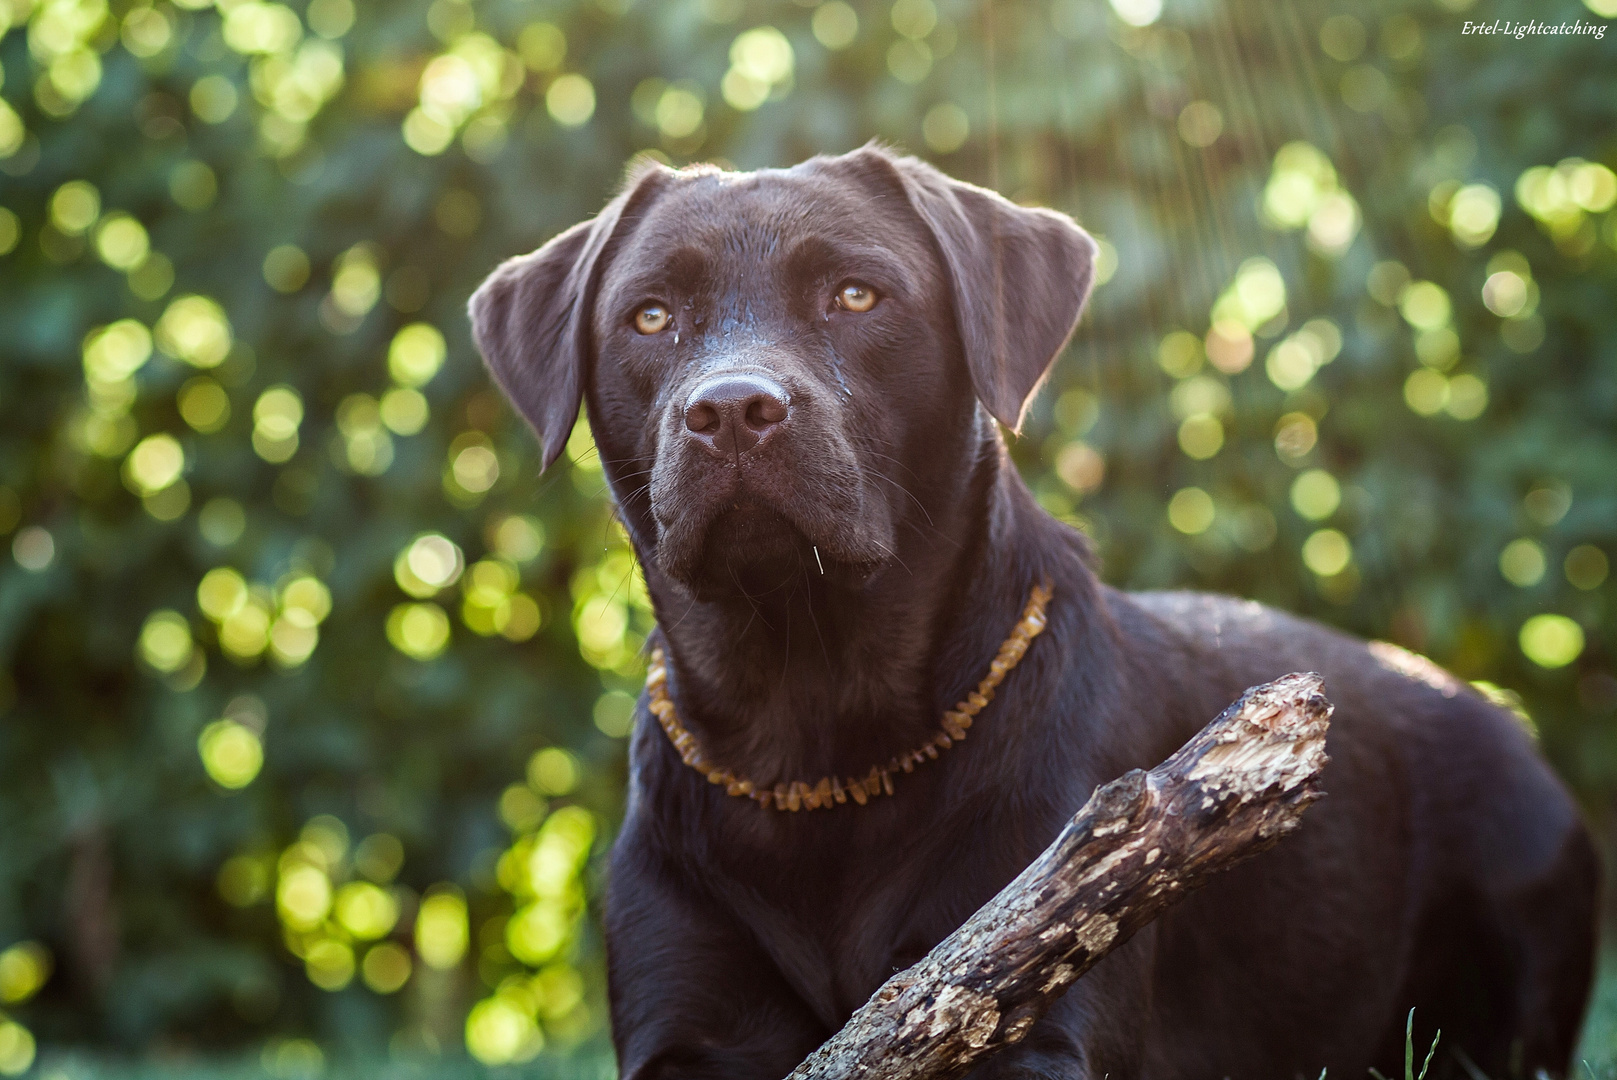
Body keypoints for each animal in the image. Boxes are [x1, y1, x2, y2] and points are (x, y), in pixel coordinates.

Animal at [465, 145, 1591, 1080]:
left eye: (856, 294)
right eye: (651, 317)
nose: (733, 408)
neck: (813, 726)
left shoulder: (1034, 998)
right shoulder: (685, 1024)